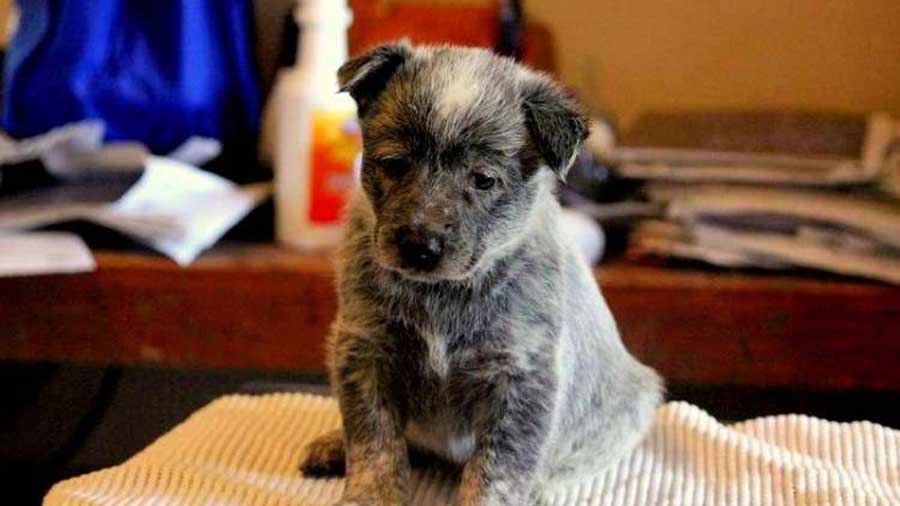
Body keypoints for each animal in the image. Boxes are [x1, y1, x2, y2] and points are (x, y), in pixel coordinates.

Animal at [302, 44, 660, 506]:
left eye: (484, 180)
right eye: (395, 164)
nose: (419, 245)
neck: (442, 294)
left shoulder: (520, 377)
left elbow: (497, 469)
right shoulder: (364, 351)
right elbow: (374, 442)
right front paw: (370, 495)